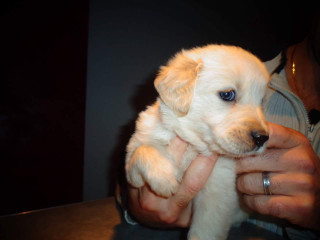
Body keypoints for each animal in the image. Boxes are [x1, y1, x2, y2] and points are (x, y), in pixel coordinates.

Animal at [125, 44, 270, 239]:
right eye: (227, 94)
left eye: (261, 101)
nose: (263, 138)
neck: (193, 143)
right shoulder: (132, 163)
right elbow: (143, 150)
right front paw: (165, 180)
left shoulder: (217, 191)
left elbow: (205, 231)